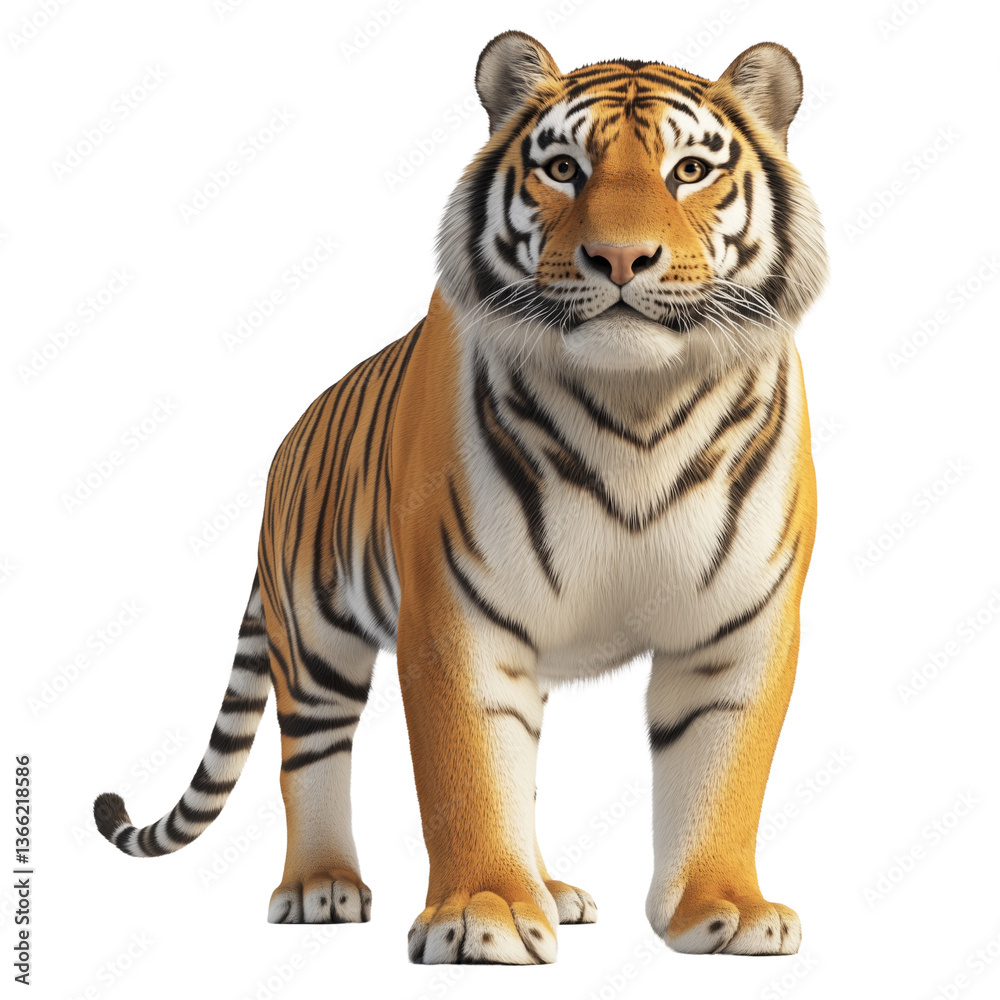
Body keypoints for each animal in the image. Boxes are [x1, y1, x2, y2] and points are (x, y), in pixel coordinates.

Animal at [93, 29, 828, 964]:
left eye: (690, 170)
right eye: (564, 168)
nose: (621, 259)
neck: (637, 409)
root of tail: (286, 442)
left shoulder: (739, 626)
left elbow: (723, 771)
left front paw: (726, 910)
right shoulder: (455, 618)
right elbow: (469, 772)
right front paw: (485, 914)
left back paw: (553, 890)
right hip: (314, 635)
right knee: (311, 757)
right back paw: (322, 886)